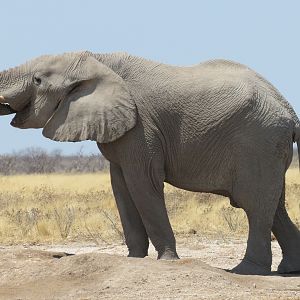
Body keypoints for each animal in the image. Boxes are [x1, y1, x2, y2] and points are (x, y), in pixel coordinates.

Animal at [0, 51, 298, 274]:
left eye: (37, 80)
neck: (98, 59)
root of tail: (290, 113)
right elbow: (121, 187)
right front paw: (133, 259)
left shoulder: (142, 128)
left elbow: (143, 184)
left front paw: (167, 261)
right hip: (269, 149)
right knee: (275, 206)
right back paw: (289, 269)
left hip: (258, 143)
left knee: (254, 204)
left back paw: (245, 271)